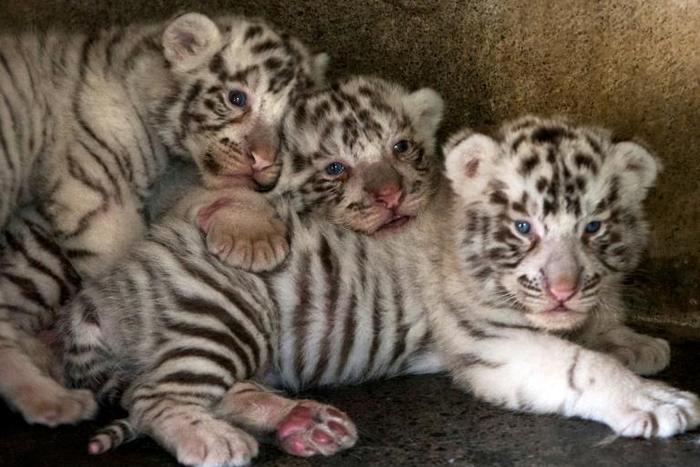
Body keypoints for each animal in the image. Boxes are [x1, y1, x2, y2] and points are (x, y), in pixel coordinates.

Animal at [0, 11, 328, 426]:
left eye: (287, 124)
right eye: (237, 98)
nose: (263, 161)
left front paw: (253, 237)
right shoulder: (97, 196)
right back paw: (52, 398)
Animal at [62, 113, 699, 466]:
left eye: (592, 227)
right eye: (523, 228)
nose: (563, 290)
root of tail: (101, 290)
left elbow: (601, 328)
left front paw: (634, 341)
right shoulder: (493, 344)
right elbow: (580, 366)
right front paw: (654, 400)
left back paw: (304, 425)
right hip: (223, 312)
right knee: (152, 396)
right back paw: (215, 441)